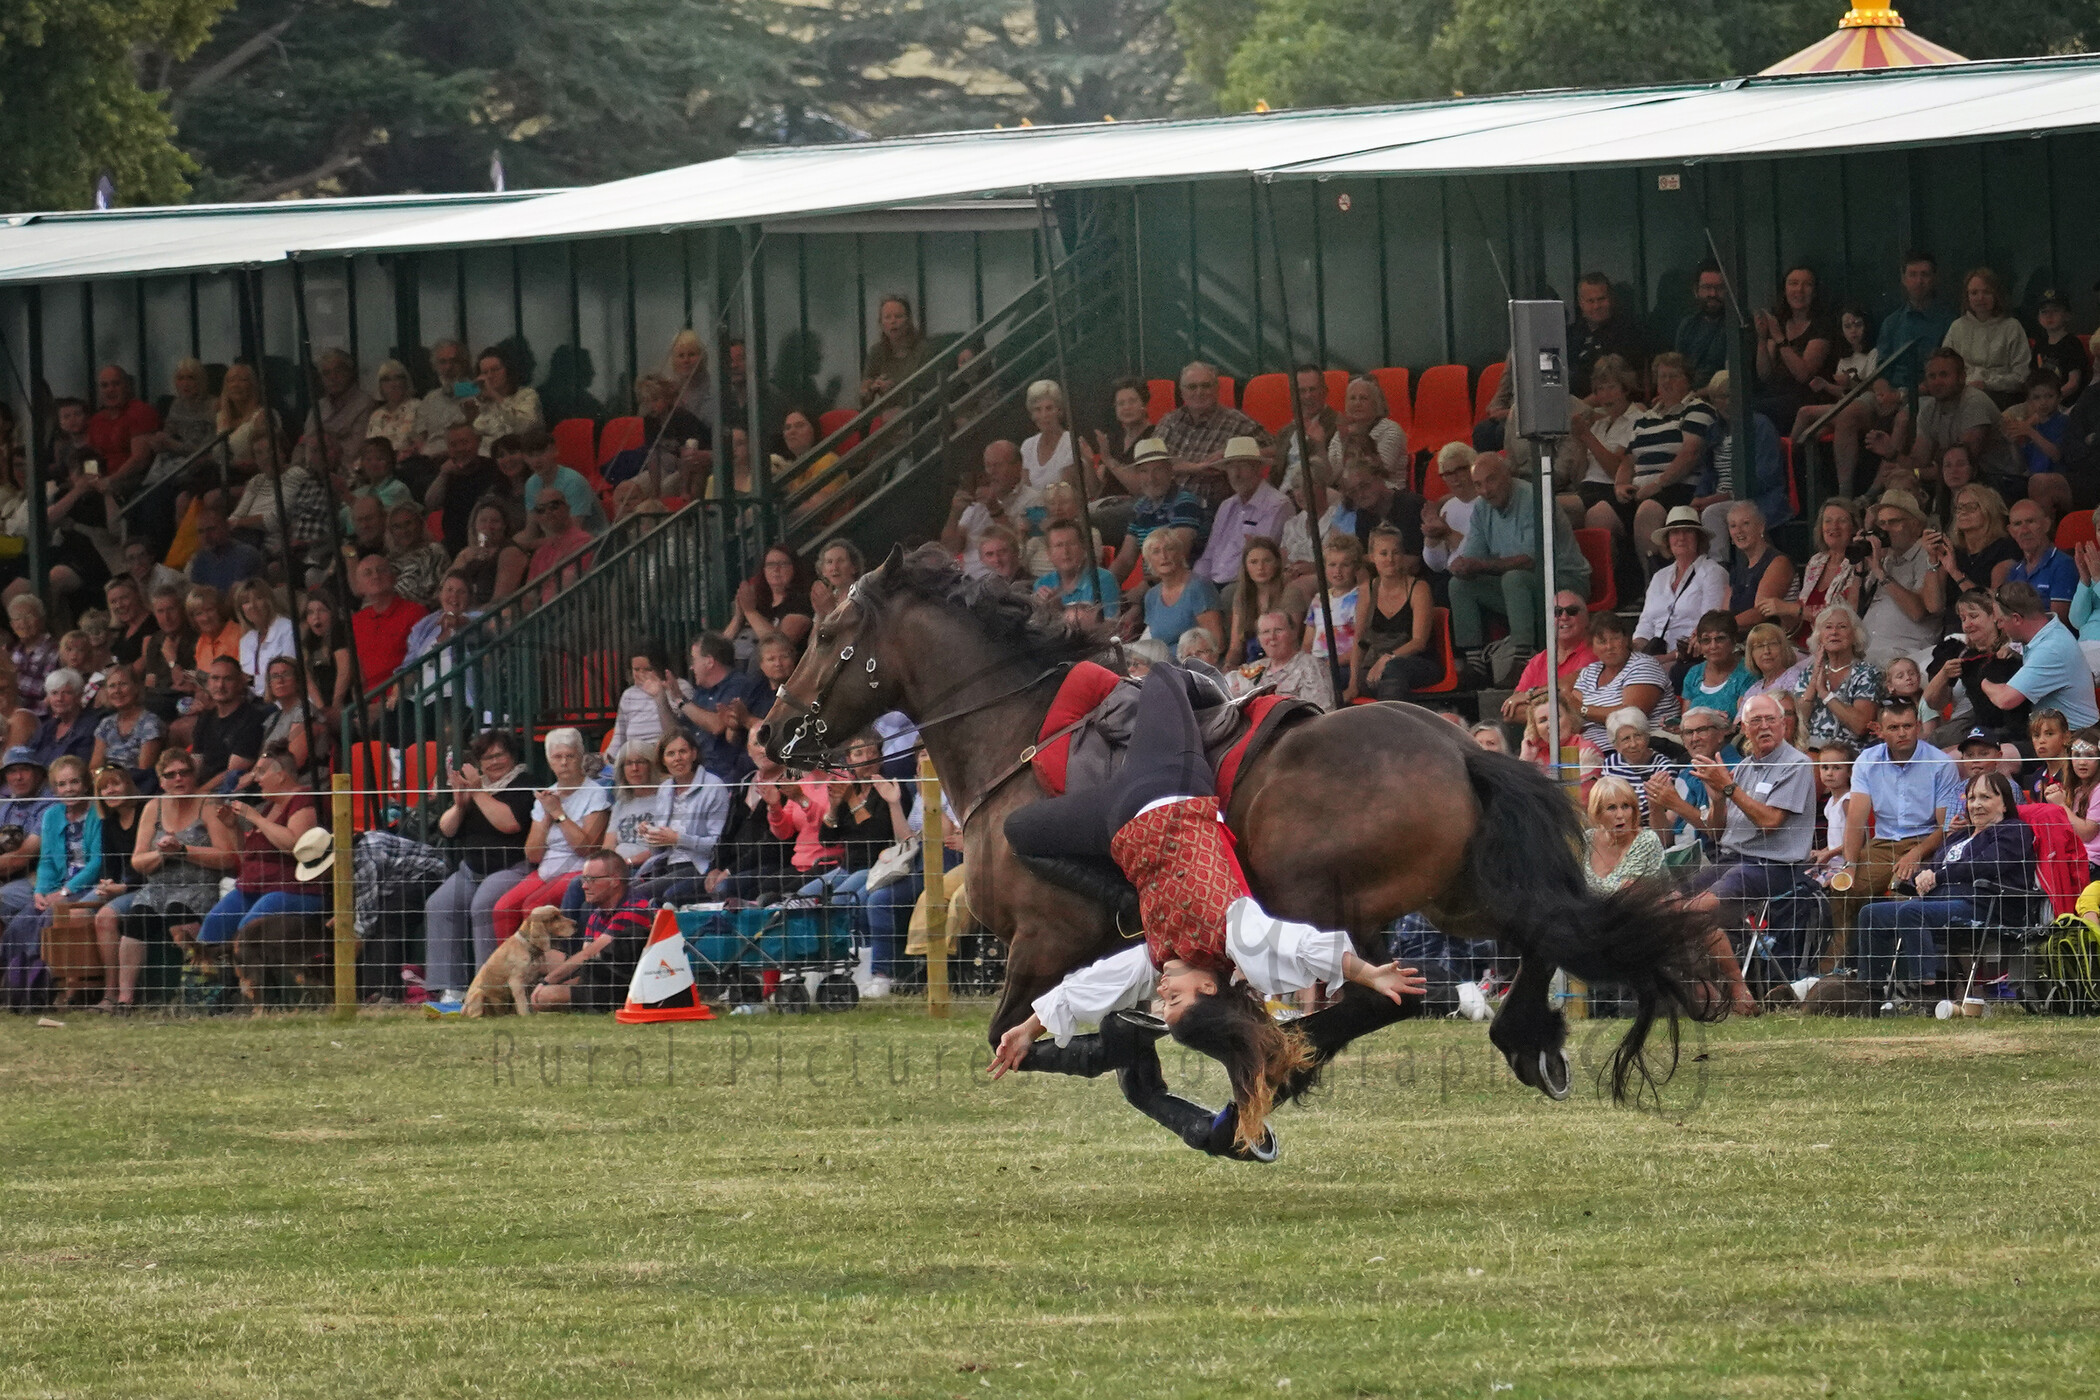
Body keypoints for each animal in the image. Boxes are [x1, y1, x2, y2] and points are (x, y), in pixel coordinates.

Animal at [764, 545, 1713, 1108]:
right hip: (1459, 893)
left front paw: (1134, 1041)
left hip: (1321, 896)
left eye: (826, 632)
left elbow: (1013, 1034)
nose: (772, 733)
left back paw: (1291, 1054)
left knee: (1388, 993)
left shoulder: (1046, 936)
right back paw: (1519, 1039)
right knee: (1536, 937)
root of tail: (1457, 746)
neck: (1024, 733)